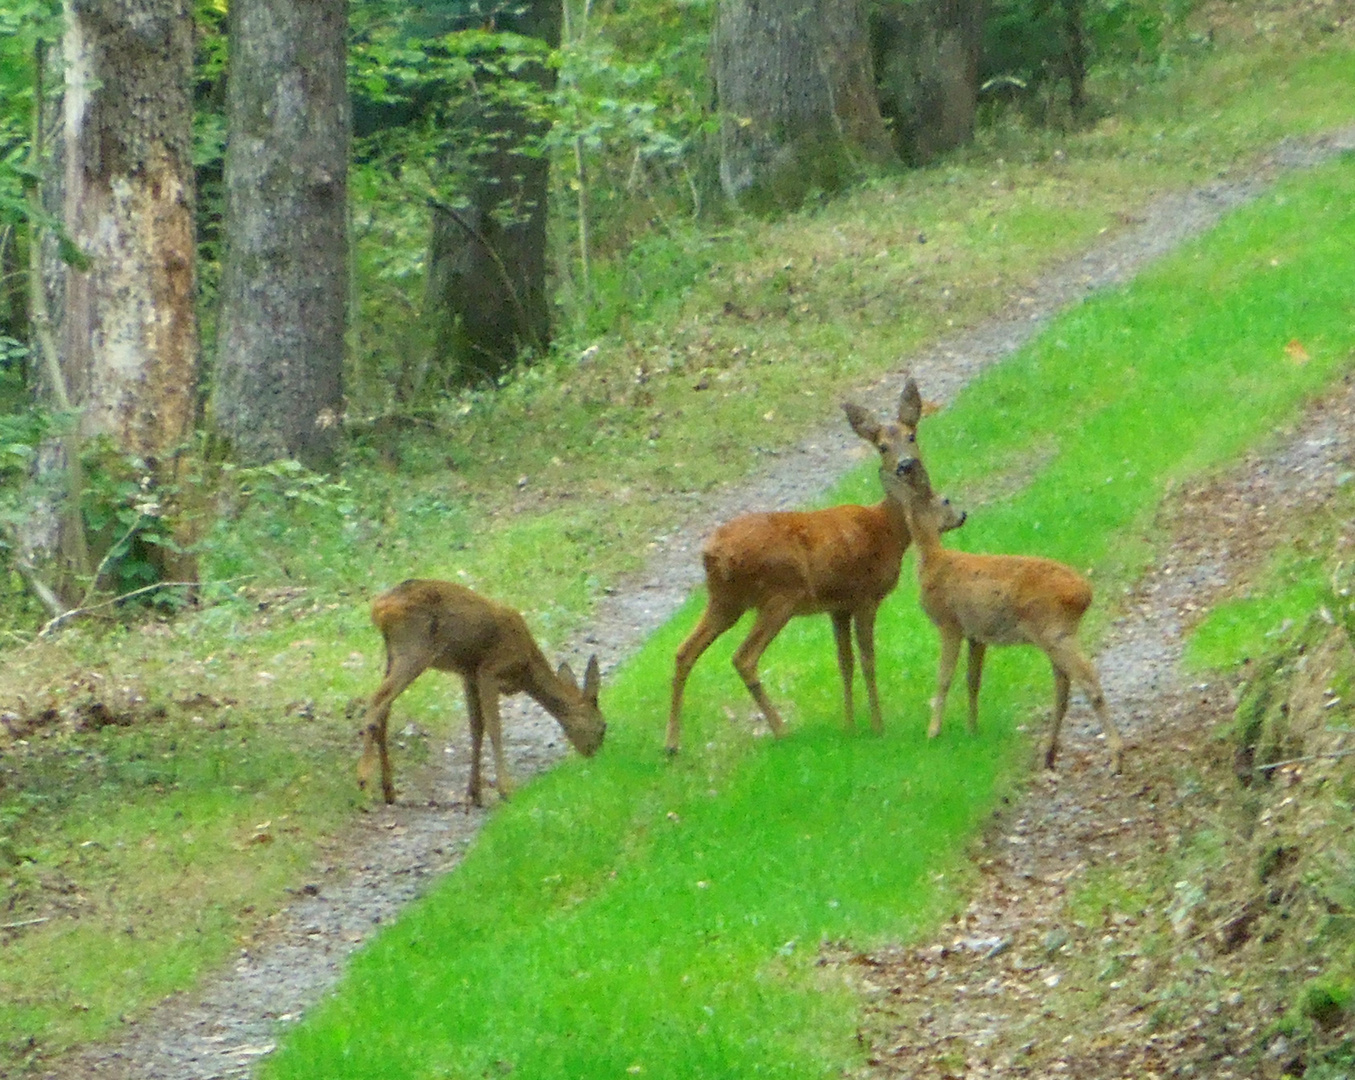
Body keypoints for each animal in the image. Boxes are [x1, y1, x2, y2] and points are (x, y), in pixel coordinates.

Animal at [365, 577, 609, 802]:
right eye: (603, 726)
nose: (595, 757)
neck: (526, 669)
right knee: (376, 700)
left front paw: (475, 793)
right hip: (415, 648)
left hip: (394, 653)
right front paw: (506, 789)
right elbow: (494, 727)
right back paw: (363, 778)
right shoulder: (489, 671)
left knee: (383, 711)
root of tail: (379, 607)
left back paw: (388, 790)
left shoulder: (469, 675)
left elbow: (476, 728)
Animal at [663, 379, 964, 748]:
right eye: (881, 445)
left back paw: (672, 743)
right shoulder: (866, 596)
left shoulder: (838, 606)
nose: (905, 465)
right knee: (743, 658)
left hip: (725, 600)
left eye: (911, 435)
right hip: (780, 594)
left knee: (683, 652)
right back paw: (782, 730)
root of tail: (711, 552)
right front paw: (877, 726)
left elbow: (845, 662)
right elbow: (868, 659)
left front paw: (849, 726)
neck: (887, 531)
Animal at [883, 455, 1127, 775]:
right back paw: (1049, 754)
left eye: (945, 498)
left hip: (1053, 630)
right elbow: (972, 681)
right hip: (1057, 634)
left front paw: (933, 732)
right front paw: (972, 730)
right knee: (1063, 689)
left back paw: (1116, 757)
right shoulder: (977, 635)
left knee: (1088, 679)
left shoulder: (950, 623)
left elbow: (944, 678)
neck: (934, 561)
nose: (962, 515)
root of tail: (1084, 592)